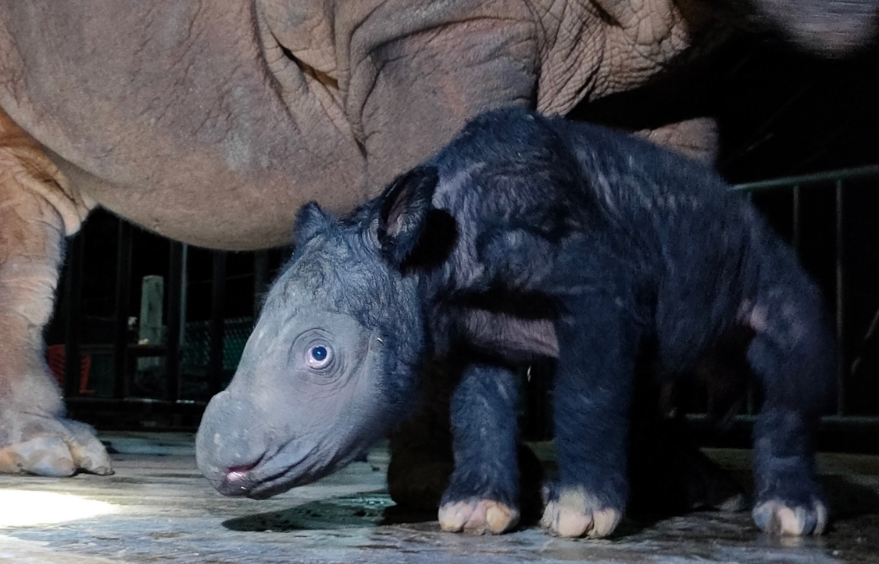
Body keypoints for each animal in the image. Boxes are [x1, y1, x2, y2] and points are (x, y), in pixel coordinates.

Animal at [196, 109, 836, 536]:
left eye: (319, 355)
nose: (216, 458)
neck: (434, 244)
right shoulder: (474, 328)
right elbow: (479, 405)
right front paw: (476, 513)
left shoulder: (598, 287)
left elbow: (586, 391)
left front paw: (578, 515)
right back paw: (710, 496)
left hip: (765, 249)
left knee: (792, 347)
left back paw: (788, 516)